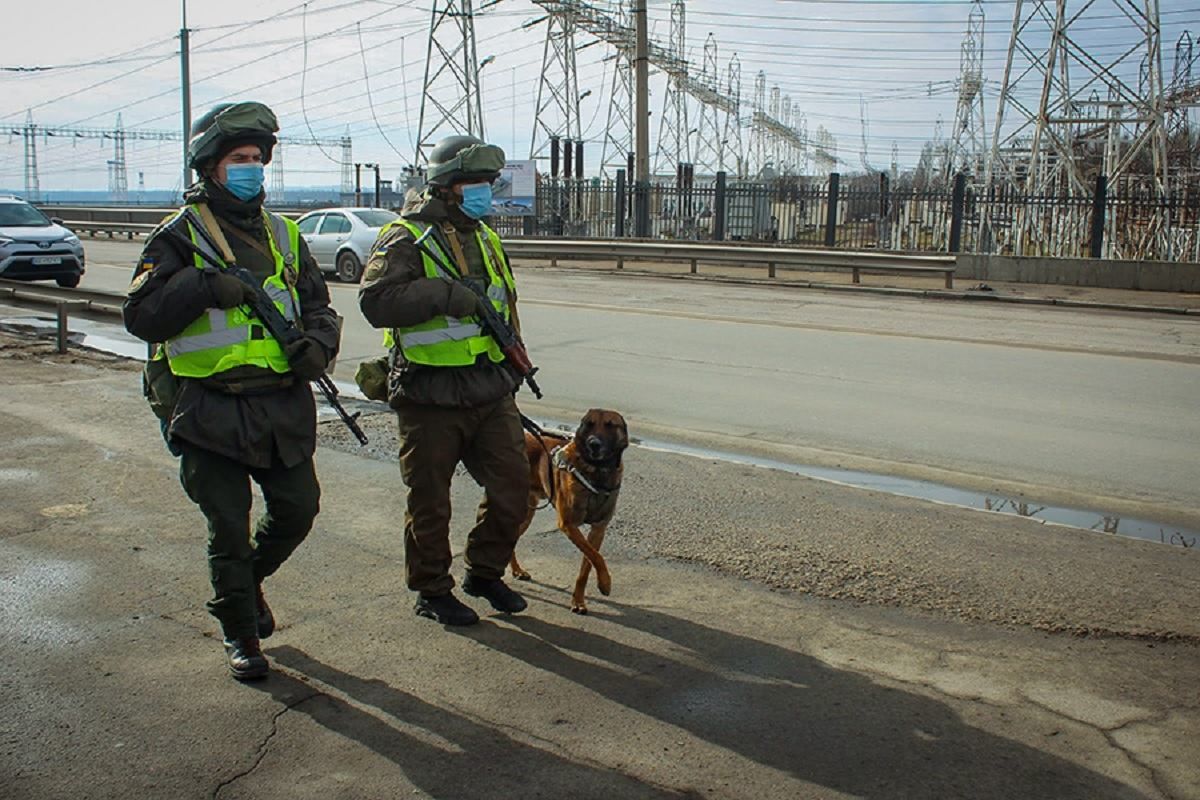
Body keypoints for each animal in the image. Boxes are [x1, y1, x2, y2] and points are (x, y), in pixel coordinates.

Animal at [511, 410, 633, 618]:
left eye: (610, 425)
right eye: (589, 424)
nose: (594, 443)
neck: (597, 473)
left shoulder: (598, 530)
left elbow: (588, 564)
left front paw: (579, 600)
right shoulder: (568, 524)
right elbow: (597, 557)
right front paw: (605, 583)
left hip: (527, 514)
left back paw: (516, 570)